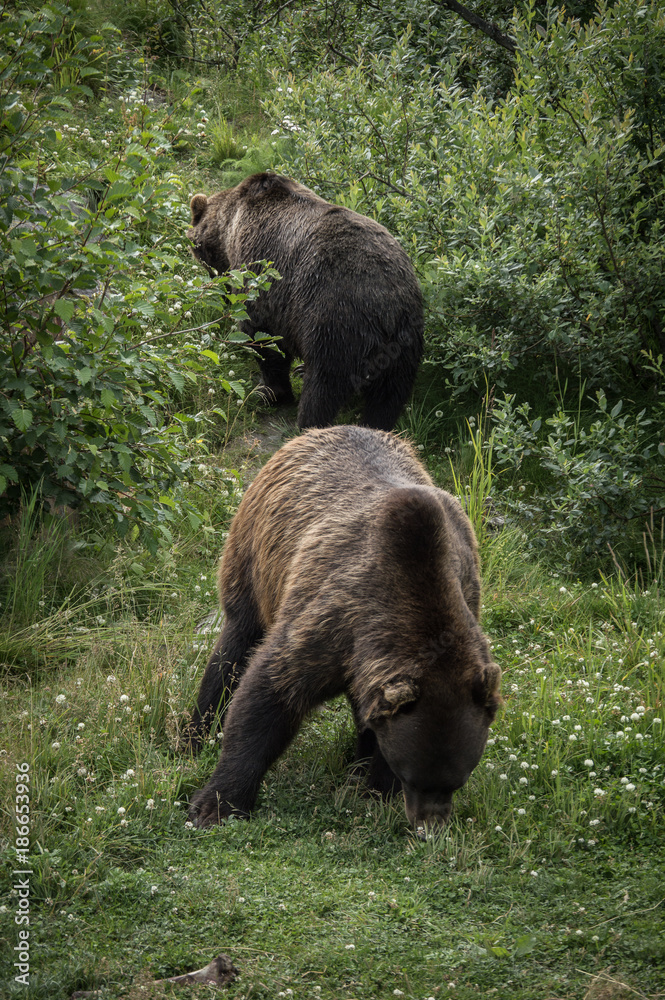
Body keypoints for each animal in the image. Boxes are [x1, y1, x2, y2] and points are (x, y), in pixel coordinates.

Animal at [186, 425, 501, 831]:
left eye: (458, 779)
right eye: (413, 776)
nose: (428, 825)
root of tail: (326, 430)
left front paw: (376, 783)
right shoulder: (331, 622)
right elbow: (266, 696)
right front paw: (215, 805)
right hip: (255, 553)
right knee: (235, 646)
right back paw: (195, 733)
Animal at [187, 173, 424, 431]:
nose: (216, 289)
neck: (230, 227)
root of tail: (387, 310)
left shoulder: (263, 277)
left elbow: (263, 338)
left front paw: (269, 392)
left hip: (334, 323)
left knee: (323, 388)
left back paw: (307, 425)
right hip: (404, 345)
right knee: (388, 400)